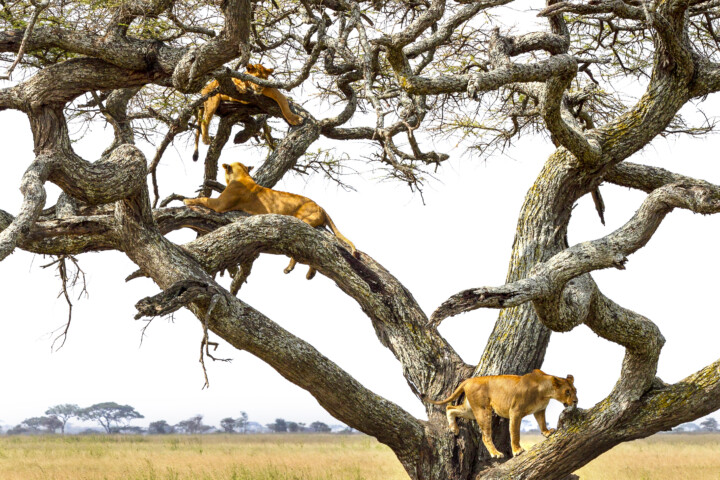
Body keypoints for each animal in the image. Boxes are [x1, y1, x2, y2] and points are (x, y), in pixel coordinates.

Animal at [184, 162, 358, 280]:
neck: (243, 175)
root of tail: (321, 206)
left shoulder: (220, 204)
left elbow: (204, 199)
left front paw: (187, 200)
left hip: (300, 221)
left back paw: (290, 267)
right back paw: (311, 273)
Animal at [428, 369, 577, 458]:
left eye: (575, 390)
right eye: (567, 392)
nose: (576, 401)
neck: (545, 392)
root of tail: (470, 379)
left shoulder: (539, 410)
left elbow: (541, 422)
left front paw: (547, 432)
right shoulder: (515, 411)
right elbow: (515, 433)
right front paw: (517, 450)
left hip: (470, 410)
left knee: (449, 407)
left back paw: (454, 428)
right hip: (483, 410)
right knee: (485, 436)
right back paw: (496, 453)